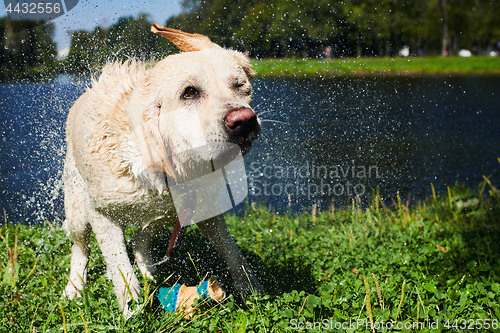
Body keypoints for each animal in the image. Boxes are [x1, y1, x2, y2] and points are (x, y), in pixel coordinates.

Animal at [63, 24, 262, 316]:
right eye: (189, 92)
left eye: (240, 87)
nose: (244, 121)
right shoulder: (100, 211)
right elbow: (118, 263)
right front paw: (131, 307)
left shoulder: (204, 208)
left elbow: (230, 249)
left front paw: (250, 287)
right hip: (77, 207)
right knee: (81, 247)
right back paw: (75, 287)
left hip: (168, 215)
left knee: (142, 237)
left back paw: (148, 271)